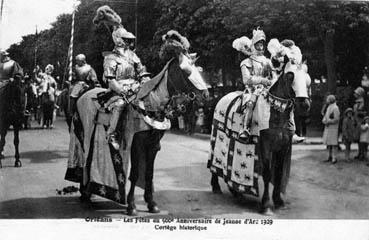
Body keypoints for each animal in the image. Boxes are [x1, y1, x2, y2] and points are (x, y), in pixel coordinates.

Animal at [65, 51, 207, 216]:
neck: (151, 106)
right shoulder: (136, 144)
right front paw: (131, 206)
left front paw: (151, 204)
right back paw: (85, 192)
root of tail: (84, 93)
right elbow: (135, 174)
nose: (206, 95)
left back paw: (88, 191)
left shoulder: (152, 146)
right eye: (187, 72)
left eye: (199, 70)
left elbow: (148, 174)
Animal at [208, 58, 310, 216]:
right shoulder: (265, 145)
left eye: (306, 76)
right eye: (290, 75)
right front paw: (266, 205)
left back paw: (236, 192)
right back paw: (216, 187)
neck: (276, 112)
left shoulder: (283, 147)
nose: (304, 104)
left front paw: (279, 202)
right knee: (214, 160)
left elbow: (278, 173)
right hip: (216, 135)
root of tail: (223, 98)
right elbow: (268, 174)